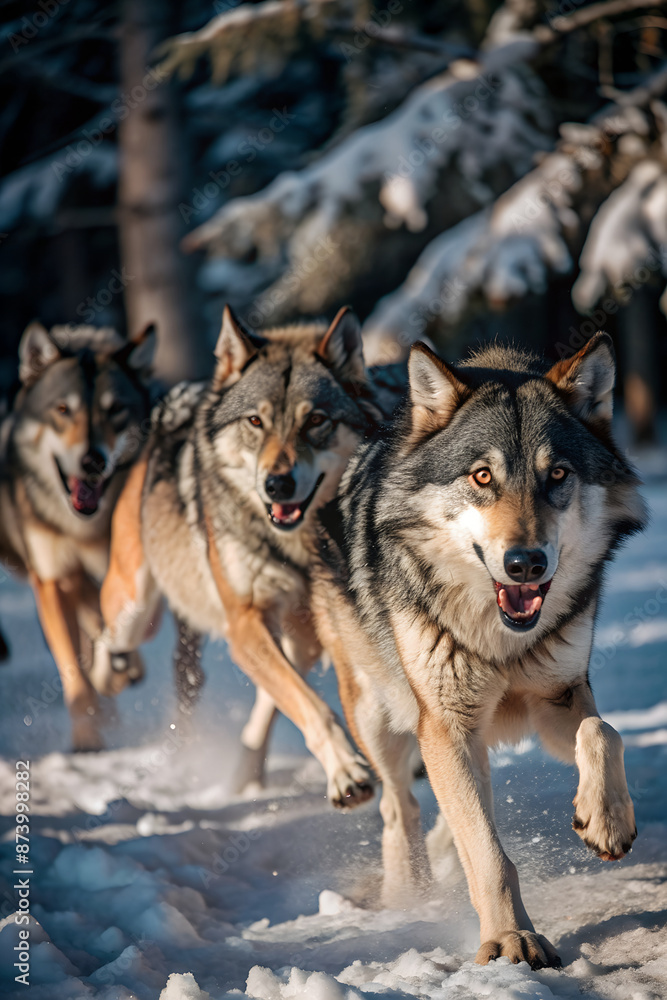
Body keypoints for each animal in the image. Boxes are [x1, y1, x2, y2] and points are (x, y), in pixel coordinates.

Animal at [0, 321, 156, 750]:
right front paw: (87, 741)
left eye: (115, 410)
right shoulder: (52, 579)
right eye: (63, 410)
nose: (91, 461)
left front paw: (119, 666)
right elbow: (75, 672)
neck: (84, 529)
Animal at [96, 305, 398, 806]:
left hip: (294, 636)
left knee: (266, 704)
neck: (298, 545)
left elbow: (297, 700)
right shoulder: (245, 621)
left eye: (316, 420)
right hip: (135, 605)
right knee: (107, 637)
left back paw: (244, 776)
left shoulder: (312, 628)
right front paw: (347, 773)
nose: (276, 484)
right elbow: (313, 707)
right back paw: (111, 677)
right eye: (256, 422)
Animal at [313, 333, 648, 967]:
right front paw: (512, 940)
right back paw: (410, 892)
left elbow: (605, 732)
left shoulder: (558, 696)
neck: (502, 642)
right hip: (378, 716)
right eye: (483, 476)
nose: (525, 563)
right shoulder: (444, 724)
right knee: (399, 805)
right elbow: (490, 857)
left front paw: (607, 820)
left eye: (558, 474)